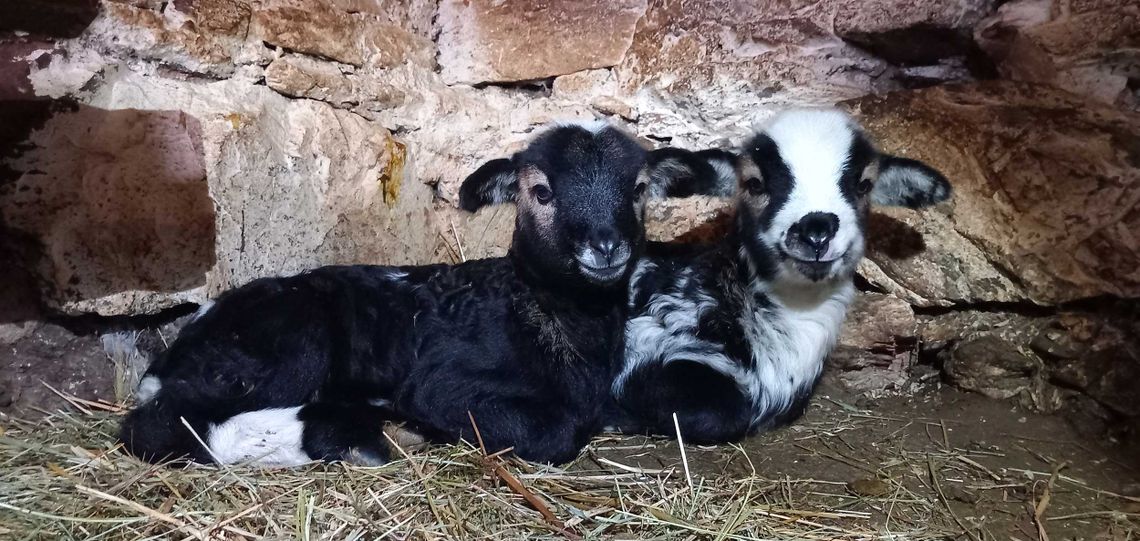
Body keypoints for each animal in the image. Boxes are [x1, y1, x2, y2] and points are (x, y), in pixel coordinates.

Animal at [119, 121, 661, 466]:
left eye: (637, 189)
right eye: (541, 192)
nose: (605, 245)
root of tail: (168, 360)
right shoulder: (440, 388)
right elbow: (557, 432)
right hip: (292, 346)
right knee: (160, 425)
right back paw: (343, 434)